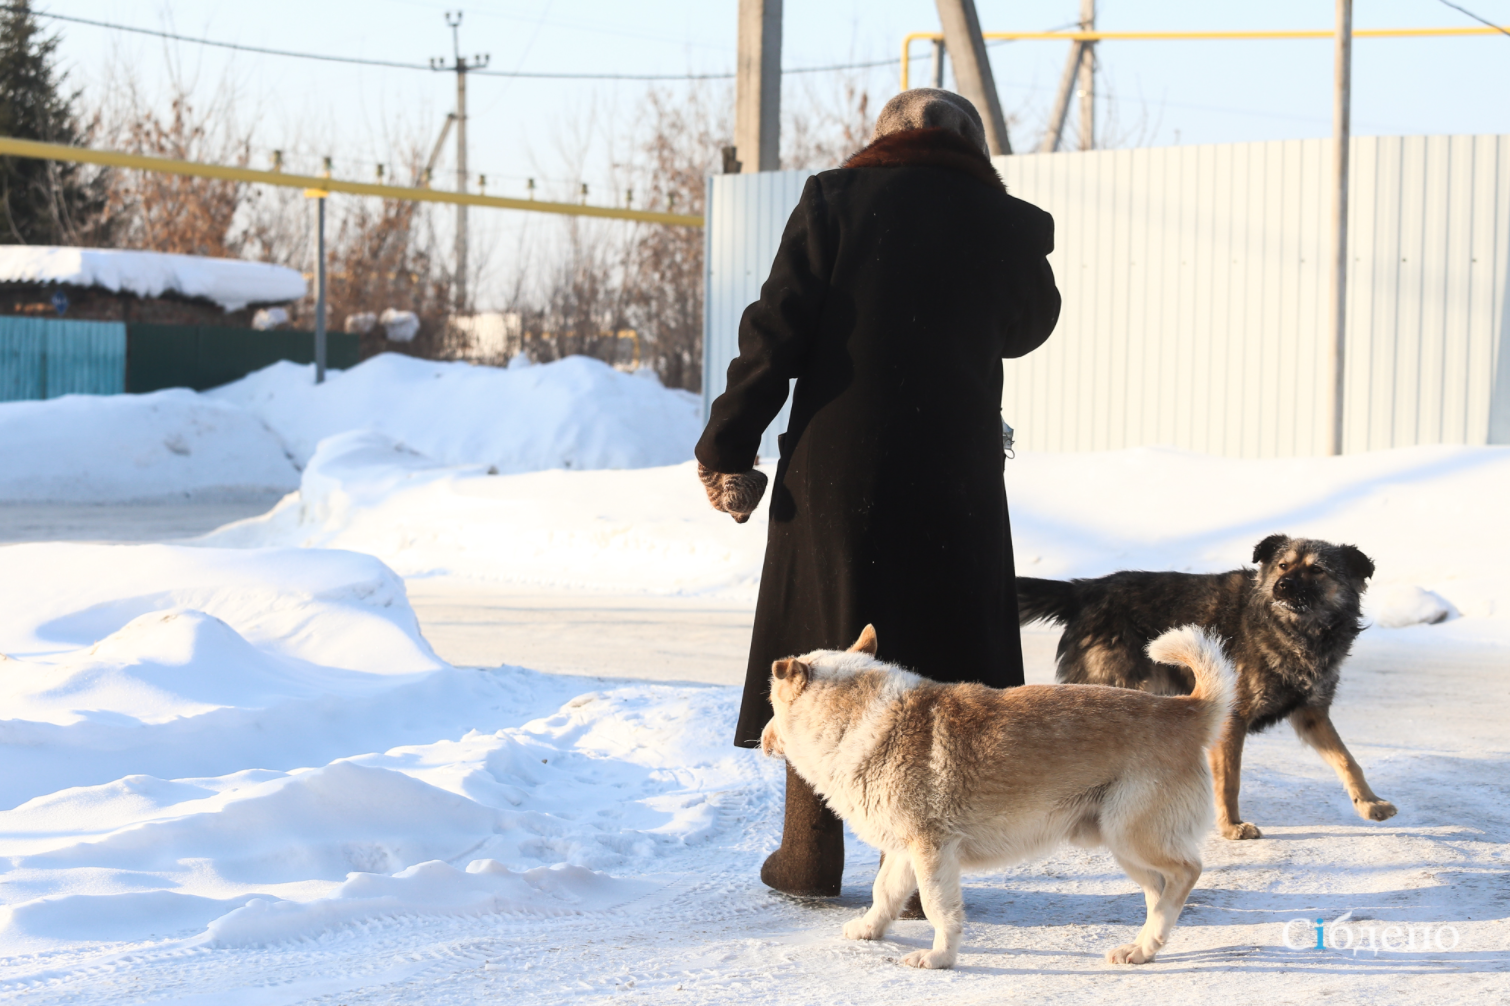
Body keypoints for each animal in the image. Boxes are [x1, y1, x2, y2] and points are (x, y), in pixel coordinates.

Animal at [761, 619, 1232, 966]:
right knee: (1159, 891)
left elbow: (937, 907)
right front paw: (870, 930)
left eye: (770, 704)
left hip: (1131, 836)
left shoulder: (932, 851)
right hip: (1123, 845)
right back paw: (1142, 948)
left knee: (1186, 872)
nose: (760, 739)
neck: (859, 722)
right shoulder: (904, 851)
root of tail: (1184, 709)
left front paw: (940, 957)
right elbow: (885, 893)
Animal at [1020, 531, 1395, 839]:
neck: (1293, 629)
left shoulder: (1311, 713)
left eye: (1317, 570)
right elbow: (1229, 779)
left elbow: (1347, 759)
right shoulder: (1232, 719)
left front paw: (1369, 802)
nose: (1282, 586)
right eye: (1283, 566)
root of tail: (1085, 590)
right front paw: (1231, 826)